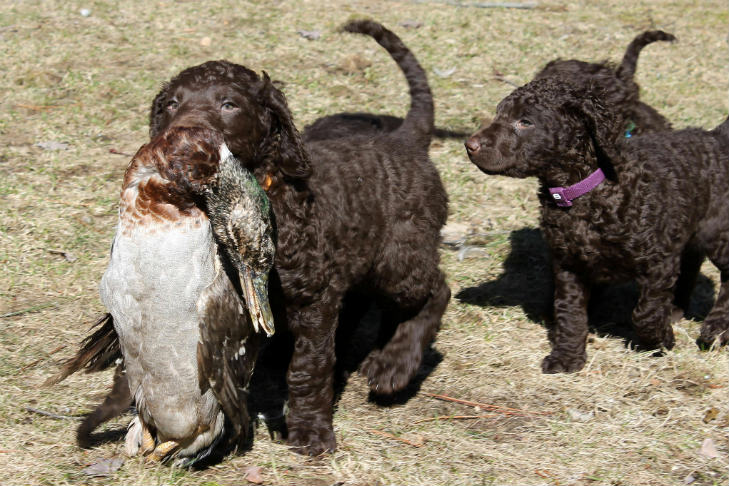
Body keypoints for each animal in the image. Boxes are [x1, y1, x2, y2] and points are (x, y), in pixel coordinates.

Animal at [148, 19, 450, 456]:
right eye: (172, 103)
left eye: (229, 105)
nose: (180, 135)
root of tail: (404, 138)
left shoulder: (312, 299)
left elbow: (309, 368)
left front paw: (311, 431)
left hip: (400, 256)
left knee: (433, 290)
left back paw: (394, 366)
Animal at [466, 79, 728, 372]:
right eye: (499, 114)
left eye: (525, 121)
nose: (469, 144)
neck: (583, 191)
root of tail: (715, 137)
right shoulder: (569, 264)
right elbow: (569, 313)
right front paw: (567, 358)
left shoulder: (658, 261)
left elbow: (644, 313)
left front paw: (660, 341)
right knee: (691, 263)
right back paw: (675, 310)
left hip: (718, 235)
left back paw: (715, 330)